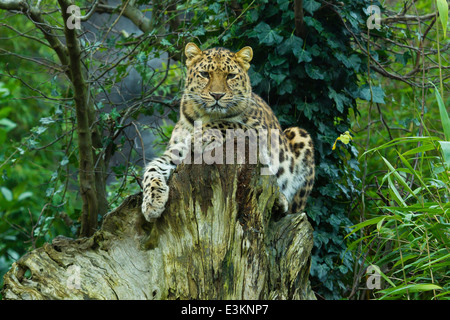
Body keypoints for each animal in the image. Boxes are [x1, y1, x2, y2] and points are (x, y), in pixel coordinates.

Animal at [142, 42, 314, 221]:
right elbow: (154, 167)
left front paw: (201, 136)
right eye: (205, 74)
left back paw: (282, 200)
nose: (217, 95)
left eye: (230, 76)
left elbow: (229, 123)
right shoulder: (176, 150)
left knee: (292, 207)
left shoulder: (261, 133)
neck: (206, 115)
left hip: (299, 135)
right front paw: (152, 202)